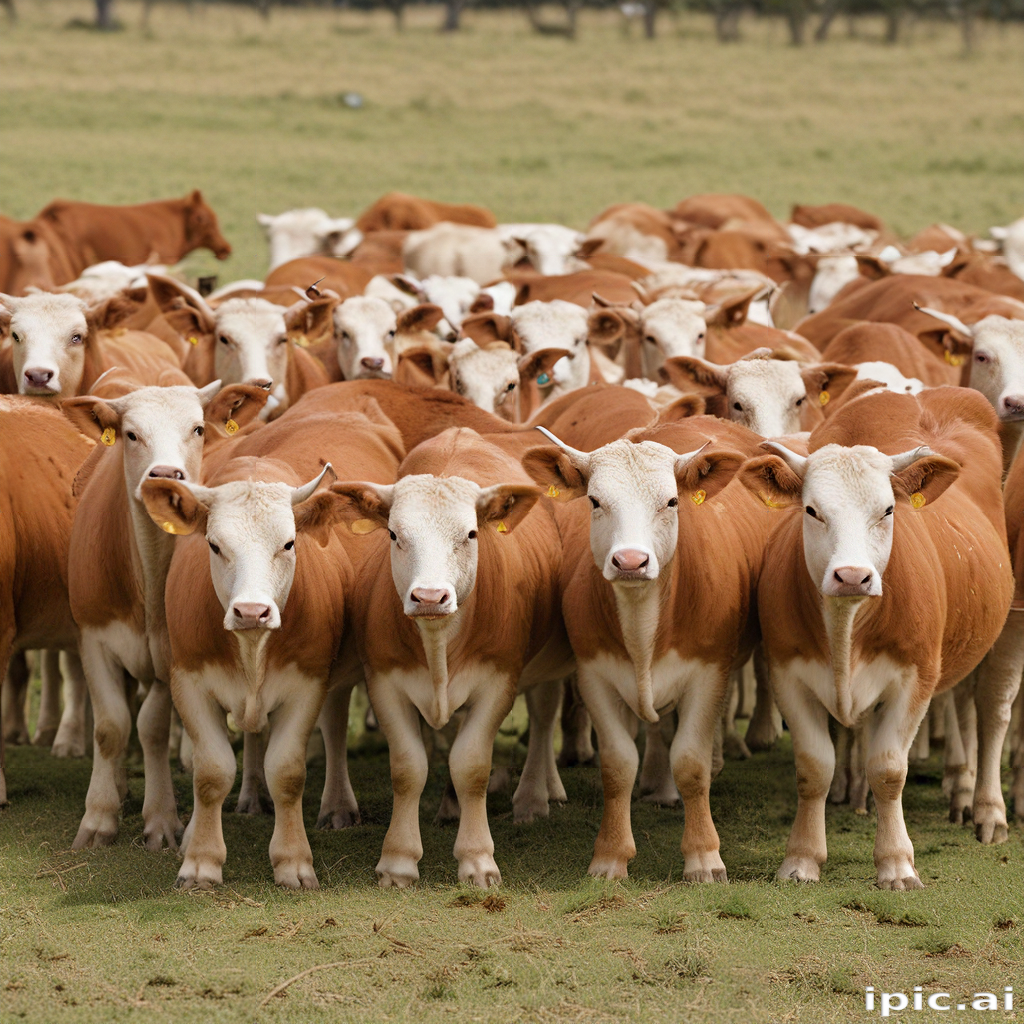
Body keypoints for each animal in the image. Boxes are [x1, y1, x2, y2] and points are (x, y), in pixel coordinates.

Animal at [63, 380, 268, 850]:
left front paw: (161, 818)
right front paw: (98, 817)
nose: (166, 475)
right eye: (131, 434)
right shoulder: (92, 637)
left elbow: (151, 728)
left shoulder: (172, 658)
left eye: (198, 428)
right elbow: (111, 726)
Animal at [521, 417, 766, 880]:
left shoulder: (709, 672)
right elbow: (618, 766)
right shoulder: (594, 674)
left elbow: (691, 763)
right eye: (595, 501)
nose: (631, 561)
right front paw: (610, 855)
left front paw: (704, 855)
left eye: (671, 501)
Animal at [738, 387, 1012, 887]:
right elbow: (814, 767)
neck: (846, 624)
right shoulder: (787, 672)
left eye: (887, 510)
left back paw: (987, 809)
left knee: (990, 713)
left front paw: (896, 862)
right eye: (812, 510)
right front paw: (802, 858)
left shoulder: (916, 679)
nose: (852, 576)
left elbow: (888, 769)